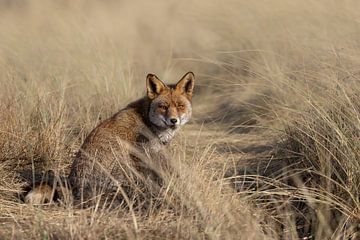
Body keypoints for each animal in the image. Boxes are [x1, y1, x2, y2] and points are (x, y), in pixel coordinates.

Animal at [24, 71, 195, 206]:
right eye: (163, 107)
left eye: (180, 106)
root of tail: (74, 186)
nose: (173, 121)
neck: (147, 119)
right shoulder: (139, 156)